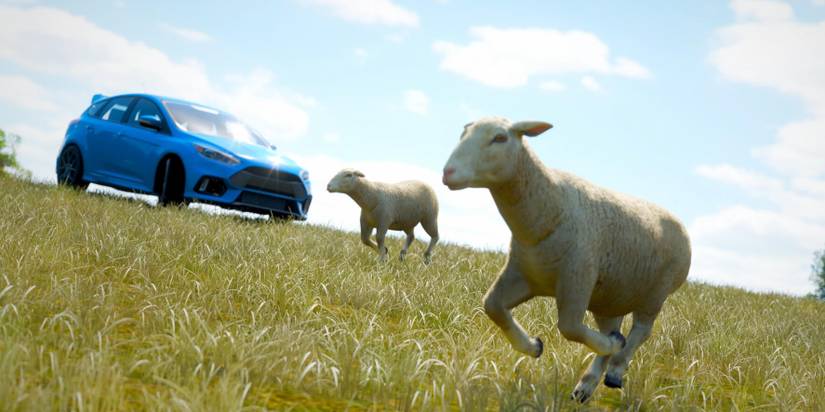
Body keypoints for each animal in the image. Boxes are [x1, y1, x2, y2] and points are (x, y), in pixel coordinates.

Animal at [442, 117, 691, 403]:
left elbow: (569, 326)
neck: (549, 208)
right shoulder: (523, 274)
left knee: (641, 330)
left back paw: (616, 368)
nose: (448, 173)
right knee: (613, 327)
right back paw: (587, 385)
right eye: (463, 132)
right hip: (609, 296)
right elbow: (492, 306)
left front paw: (610, 347)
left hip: (656, 293)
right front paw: (533, 347)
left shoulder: (578, 276)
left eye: (500, 138)